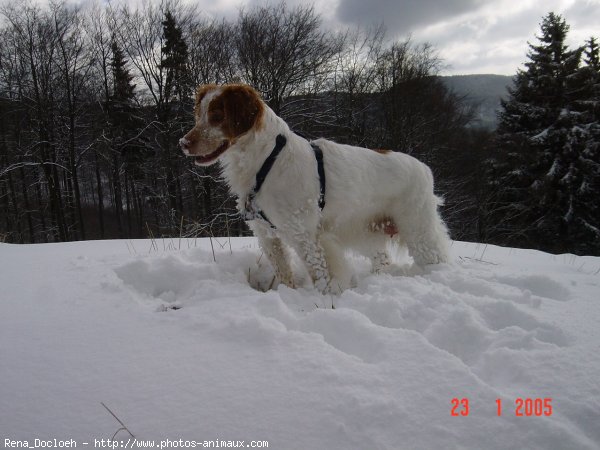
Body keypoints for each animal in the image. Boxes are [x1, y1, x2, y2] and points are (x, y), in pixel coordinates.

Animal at [180, 83, 448, 296]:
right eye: (199, 115)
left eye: (217, 116)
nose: (183, 143)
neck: (267, 161)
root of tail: (424, 168)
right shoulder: (266, 234)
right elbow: (283, 271)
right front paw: (288, 293)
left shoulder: (304, 233)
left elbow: (319, 272)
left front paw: (326, 300)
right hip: (366, 230)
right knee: (382, 259)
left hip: (418, 230)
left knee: (437, 259)